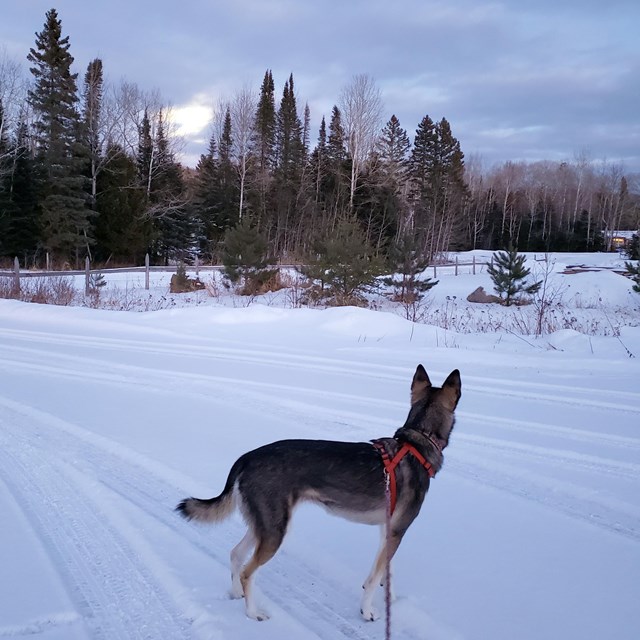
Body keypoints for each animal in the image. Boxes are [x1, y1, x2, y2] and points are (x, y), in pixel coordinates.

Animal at [176, 364, 460, 620]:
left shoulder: (387, 530)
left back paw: (236, 594)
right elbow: (372, 580)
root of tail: (247, 457)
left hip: (264, 526)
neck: (417, 443)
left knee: (235, 554)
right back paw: (253, 612)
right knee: (248, 572)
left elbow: (385, 572)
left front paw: (391, 597)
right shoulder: (397, 530)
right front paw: (367, 611)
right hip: (275, 531)